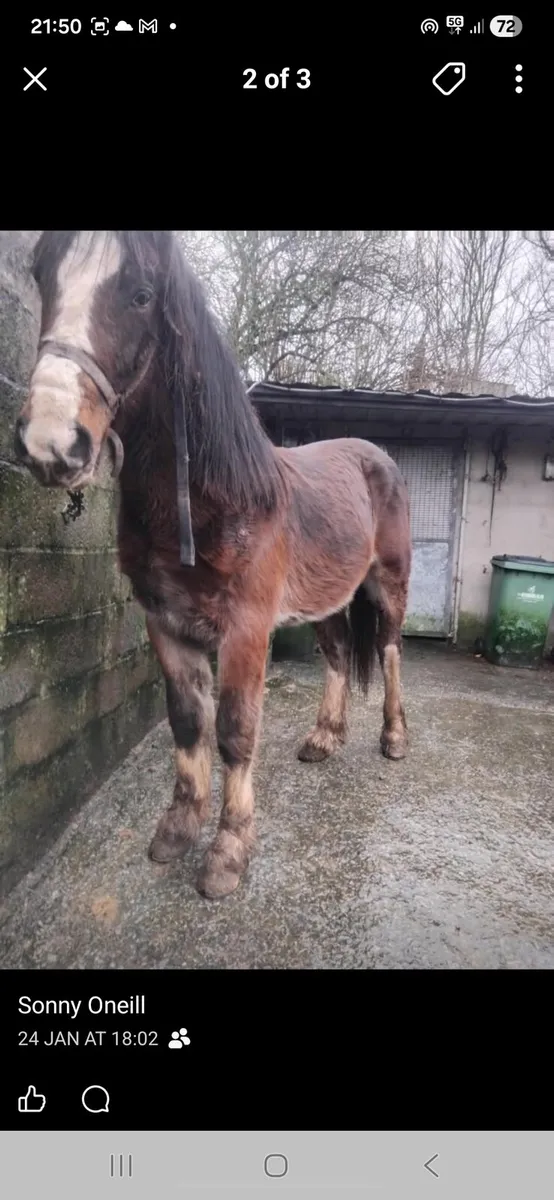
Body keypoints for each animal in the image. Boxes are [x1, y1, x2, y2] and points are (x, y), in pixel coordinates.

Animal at [14, 230, 412, 900]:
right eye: (42, 277)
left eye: (141, 295)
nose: (50, 442)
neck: (212, 499)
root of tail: (376, 456)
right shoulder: (166, 623)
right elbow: (186, 722)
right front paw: (178, 829)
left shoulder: (245, 630)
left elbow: (233, 730)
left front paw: (228, 852)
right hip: (327, 599)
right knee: (336, 656)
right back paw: (324, 739)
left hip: (387, 586)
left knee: (386, 653)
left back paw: (393, 738)